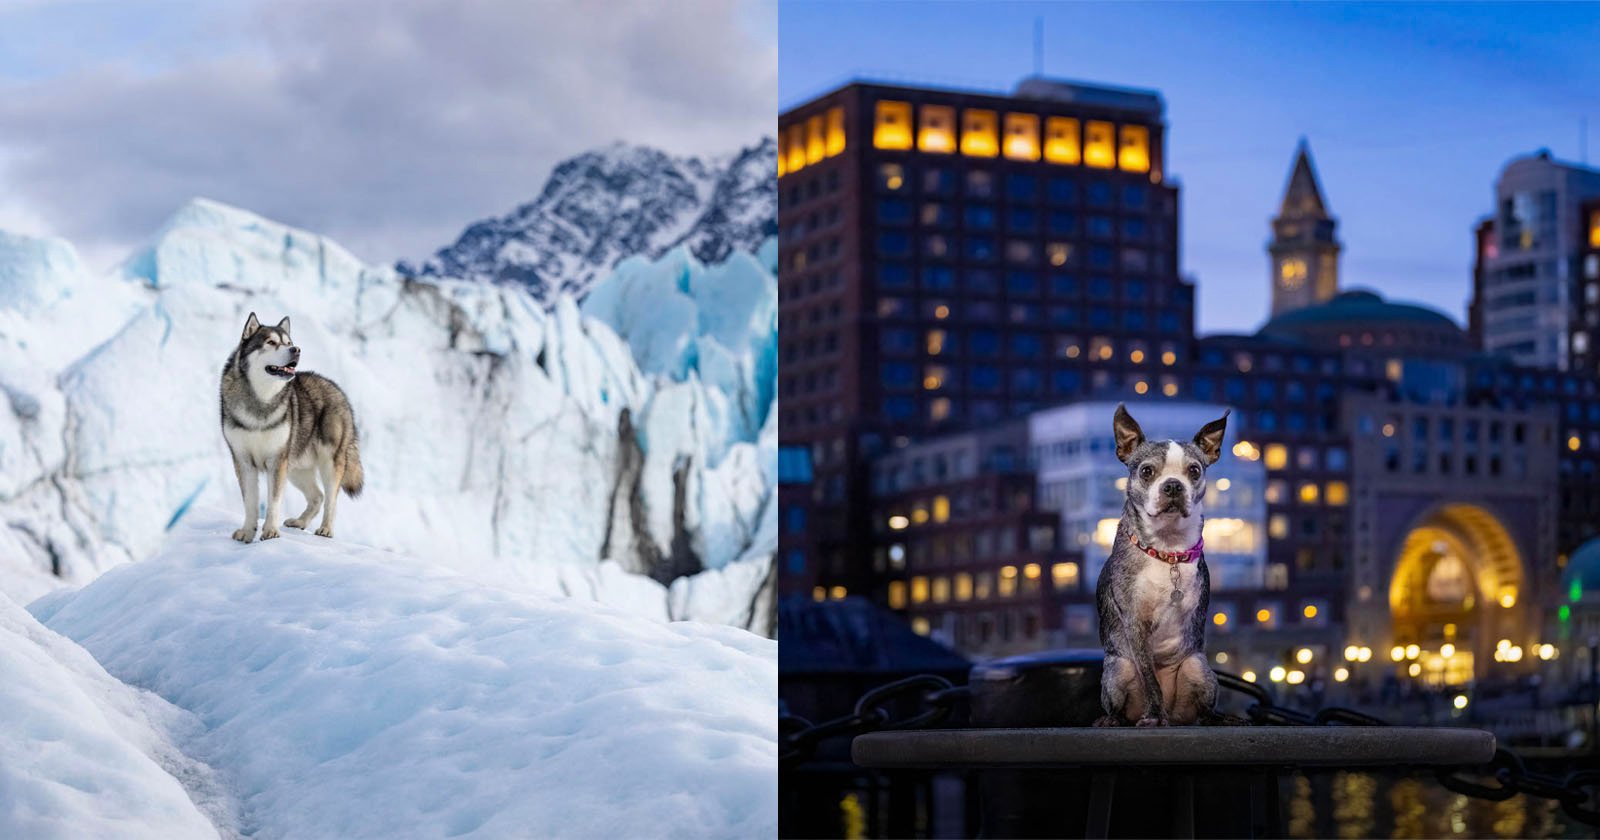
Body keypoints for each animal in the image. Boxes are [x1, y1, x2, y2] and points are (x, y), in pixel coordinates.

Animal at [220, 310, 364, 540]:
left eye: (289, 342)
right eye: (271, 342)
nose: (296, 349)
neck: (261, 400)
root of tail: (338, 390)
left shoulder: (276, 461)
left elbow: (274, 501)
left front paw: (270, 531)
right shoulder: (243, 461)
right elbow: (250, 502)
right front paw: (247, 532)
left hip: (328, 464)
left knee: (331, 499)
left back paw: (326, 529)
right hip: (296, 468)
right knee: (317, 496)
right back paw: (299, 522)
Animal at [1094, 403, 1228, 723]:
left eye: (1194, 471)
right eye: (1146, 471)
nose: (1173, 486)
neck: (1167, 552)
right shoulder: (1135, 622)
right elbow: (1149, 677)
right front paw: (1153, 714)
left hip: (1198, 667)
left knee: (1202, 712)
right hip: (1118, 669)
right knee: (1119, 707)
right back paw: (1117, 719)